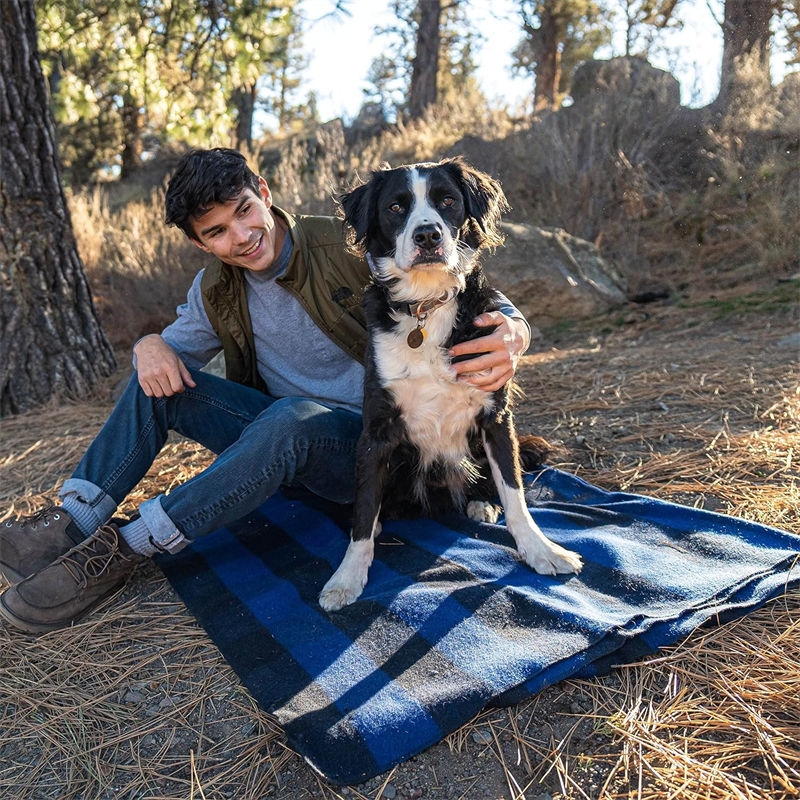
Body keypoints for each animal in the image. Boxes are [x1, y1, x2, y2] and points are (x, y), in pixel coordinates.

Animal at [318, 158, 580, 612]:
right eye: (395, 207)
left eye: (447, 201)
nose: (428, 236)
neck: (427, 306)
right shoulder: (377, 430)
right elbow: (364, 512)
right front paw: (347, 577)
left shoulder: (496, 416)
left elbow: (515, 494)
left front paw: (540, 550)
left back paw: (481, 504)